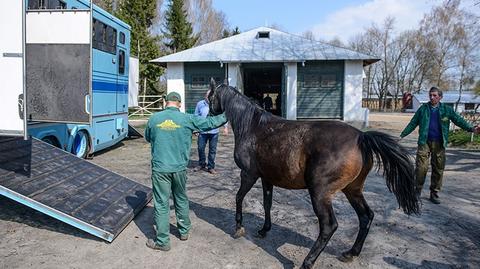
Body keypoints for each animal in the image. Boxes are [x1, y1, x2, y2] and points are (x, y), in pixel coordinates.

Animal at [206, 79, 420, 268]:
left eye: (210, 97)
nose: (208, 115)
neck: (253, 127)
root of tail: (362, 137)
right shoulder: (267, 178)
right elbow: (267, 204)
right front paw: (264, 229)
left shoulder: (248, 175)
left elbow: (238, 197)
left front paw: (238, 228)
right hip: (353, 190)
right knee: (366, 216)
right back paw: (351, 253)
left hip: (320, 193)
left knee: (329, 226)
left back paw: (308, 262)